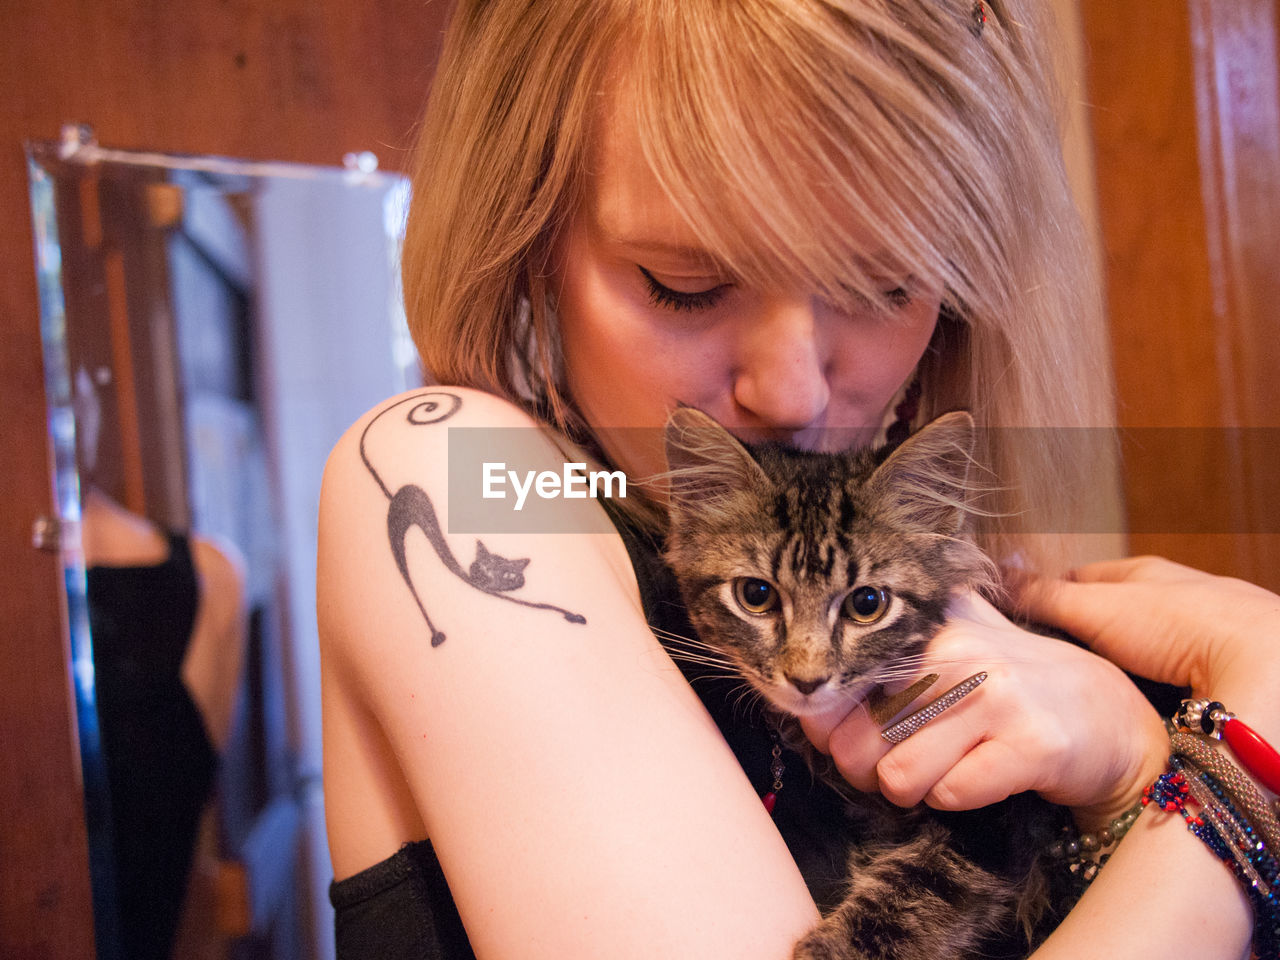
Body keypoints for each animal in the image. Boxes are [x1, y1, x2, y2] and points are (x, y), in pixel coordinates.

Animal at [665, 409, 1054, 960]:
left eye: (867, 603)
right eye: (756, 595)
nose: (807, 679)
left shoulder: (998, 816)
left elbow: (919, 891)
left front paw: (832, 951)